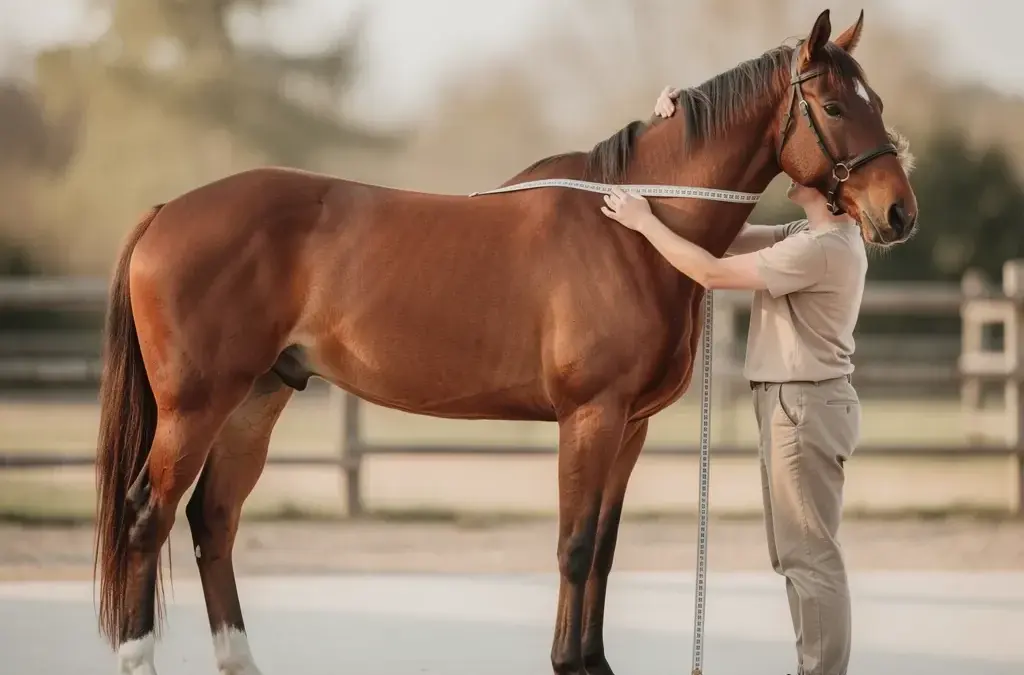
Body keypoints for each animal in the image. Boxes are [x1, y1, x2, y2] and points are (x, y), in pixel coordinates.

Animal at [93, 9, 916, 675]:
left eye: (875, 102)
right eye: (835, 105)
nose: (898, 213)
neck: (630, 232)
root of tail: (168, 212)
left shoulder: (630, 427)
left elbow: (603, 549)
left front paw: (592, 661)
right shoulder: (590, 416)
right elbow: (574, 545)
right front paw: (568, 662)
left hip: (257, 398)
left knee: (214, 519)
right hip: (195, 407)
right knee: (147, 516)